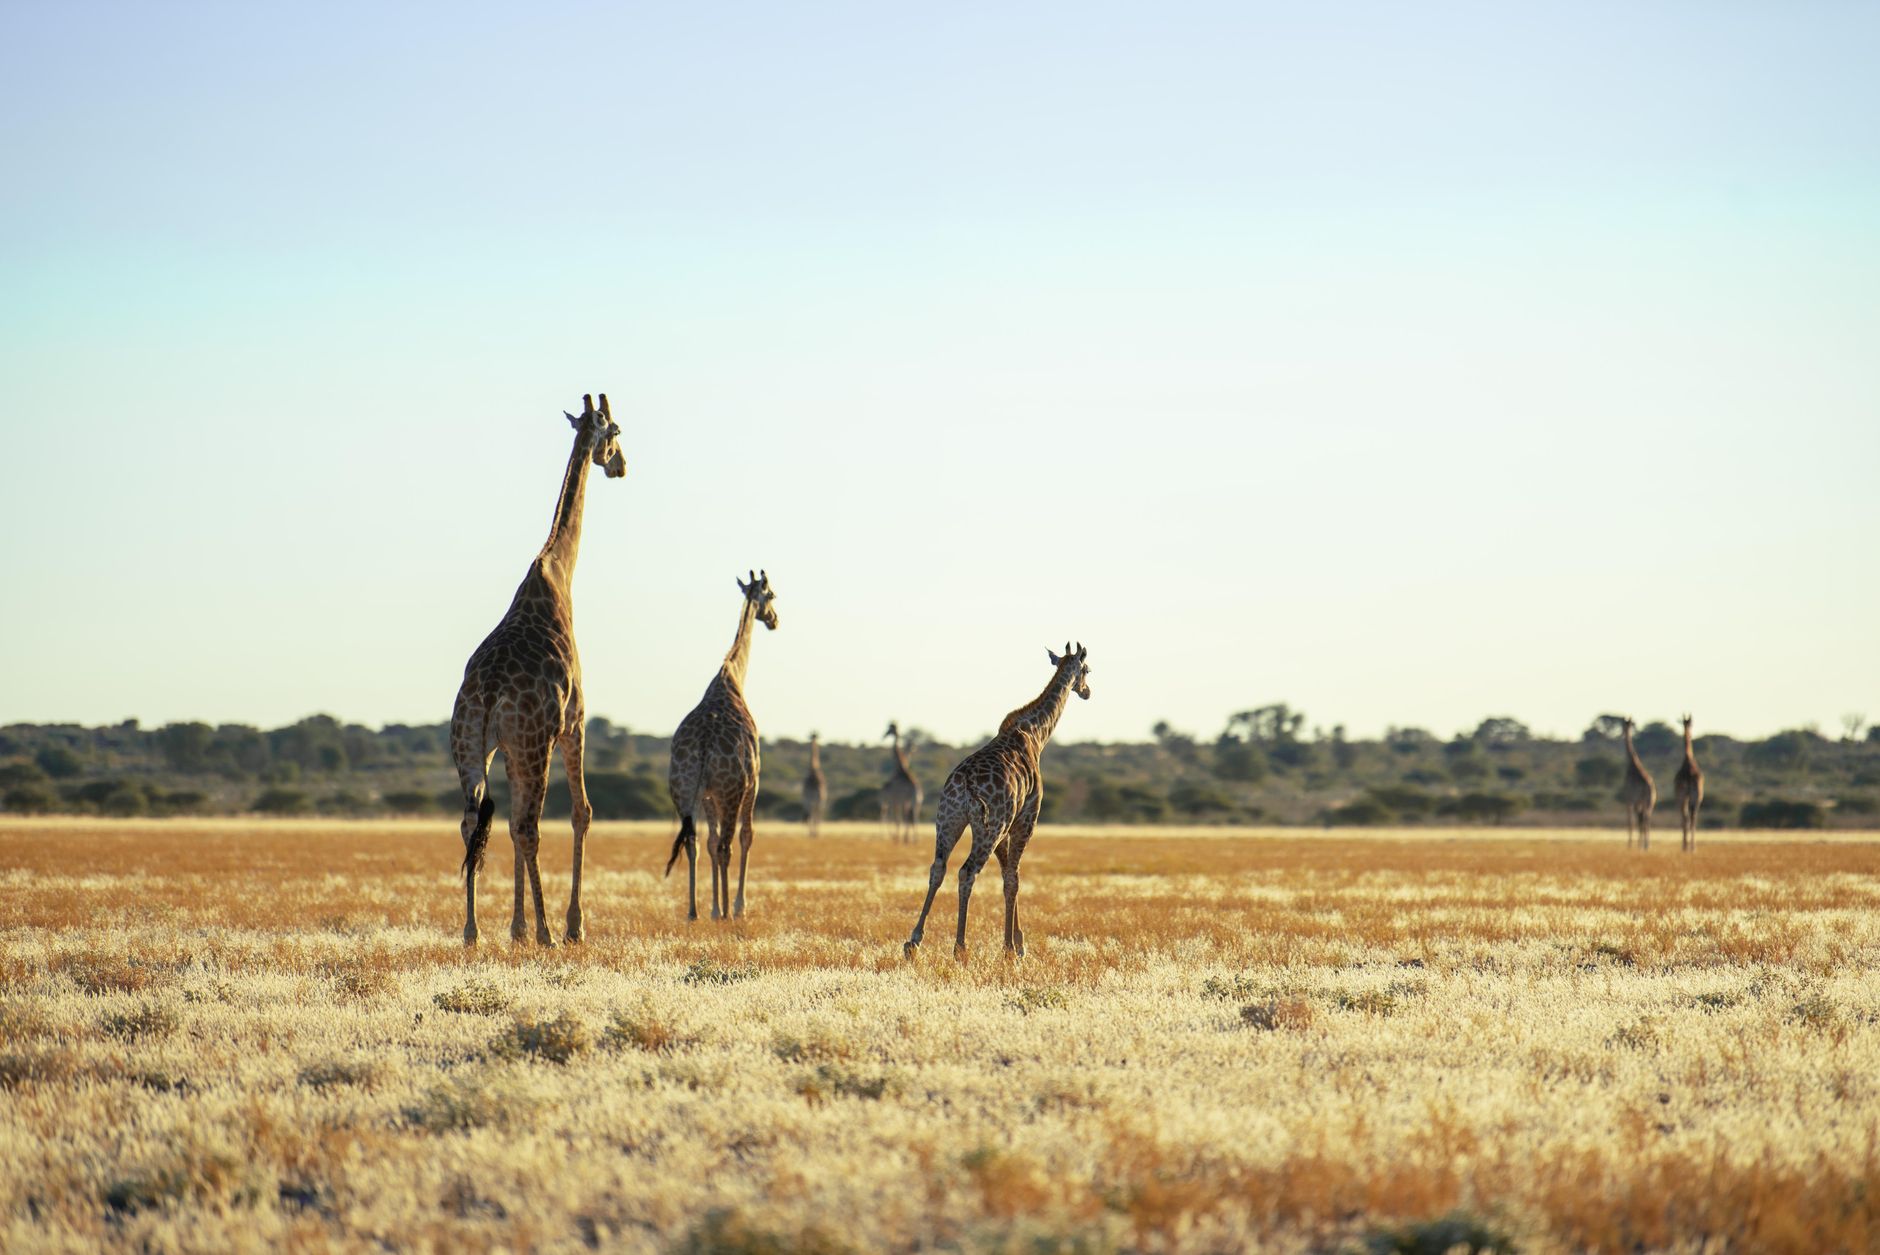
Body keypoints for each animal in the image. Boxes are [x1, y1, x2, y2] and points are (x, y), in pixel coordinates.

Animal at [450, 394, 625, 947]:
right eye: (616, 432)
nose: (621, 465)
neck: (558, 572)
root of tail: (486, 695)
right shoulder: (574, 723)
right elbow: (582, 813)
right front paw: (571, 925)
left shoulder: (506, 750)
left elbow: (502, 825)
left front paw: (516, 927)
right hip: (534, 744)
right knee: (530, 825)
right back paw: (550, 932)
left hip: (471, 746)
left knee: (473, 821)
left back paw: (472, 931)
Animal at [664, 570, 779, 920]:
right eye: (772, 596)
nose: (775, 620)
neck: (732, 678)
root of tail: (703, 747)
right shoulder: (752, 782)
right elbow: (746, 836)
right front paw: (735, 907)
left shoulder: (707, 794)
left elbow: (711, 843)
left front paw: (715, 906)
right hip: (731, 791)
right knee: (728, 842)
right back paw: (728, 913)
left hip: (683, 790)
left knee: (693, 842)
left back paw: (693, 911)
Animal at [903, 643, 1091, 963]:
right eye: (1088, 669)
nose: (1087, 691)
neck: (1037, 734)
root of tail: (965, 785)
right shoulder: (1025, 817)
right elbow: (1014, 876)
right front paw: (1013, 949)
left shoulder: (1006, 824)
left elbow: (1007, 875)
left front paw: (1015, 943)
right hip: (987, 826)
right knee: (967, 871)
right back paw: (960, 948)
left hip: (949, 820)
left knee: (938, 867)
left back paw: (913, 941)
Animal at [1621, 716, 1657, 851]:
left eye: (1624, 725)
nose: (1622, 733)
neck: (1632, 763)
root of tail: (1649, 786)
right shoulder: (1638, 802)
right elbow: (1639, 821)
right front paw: (1638, 844)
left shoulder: (1629, 800)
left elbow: (1631, 821)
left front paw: (1630, 844)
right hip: (1650, 802)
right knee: (1647, 818)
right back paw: (1647, 845)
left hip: (1642, 801)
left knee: (1643, 819)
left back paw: (1644, 845)